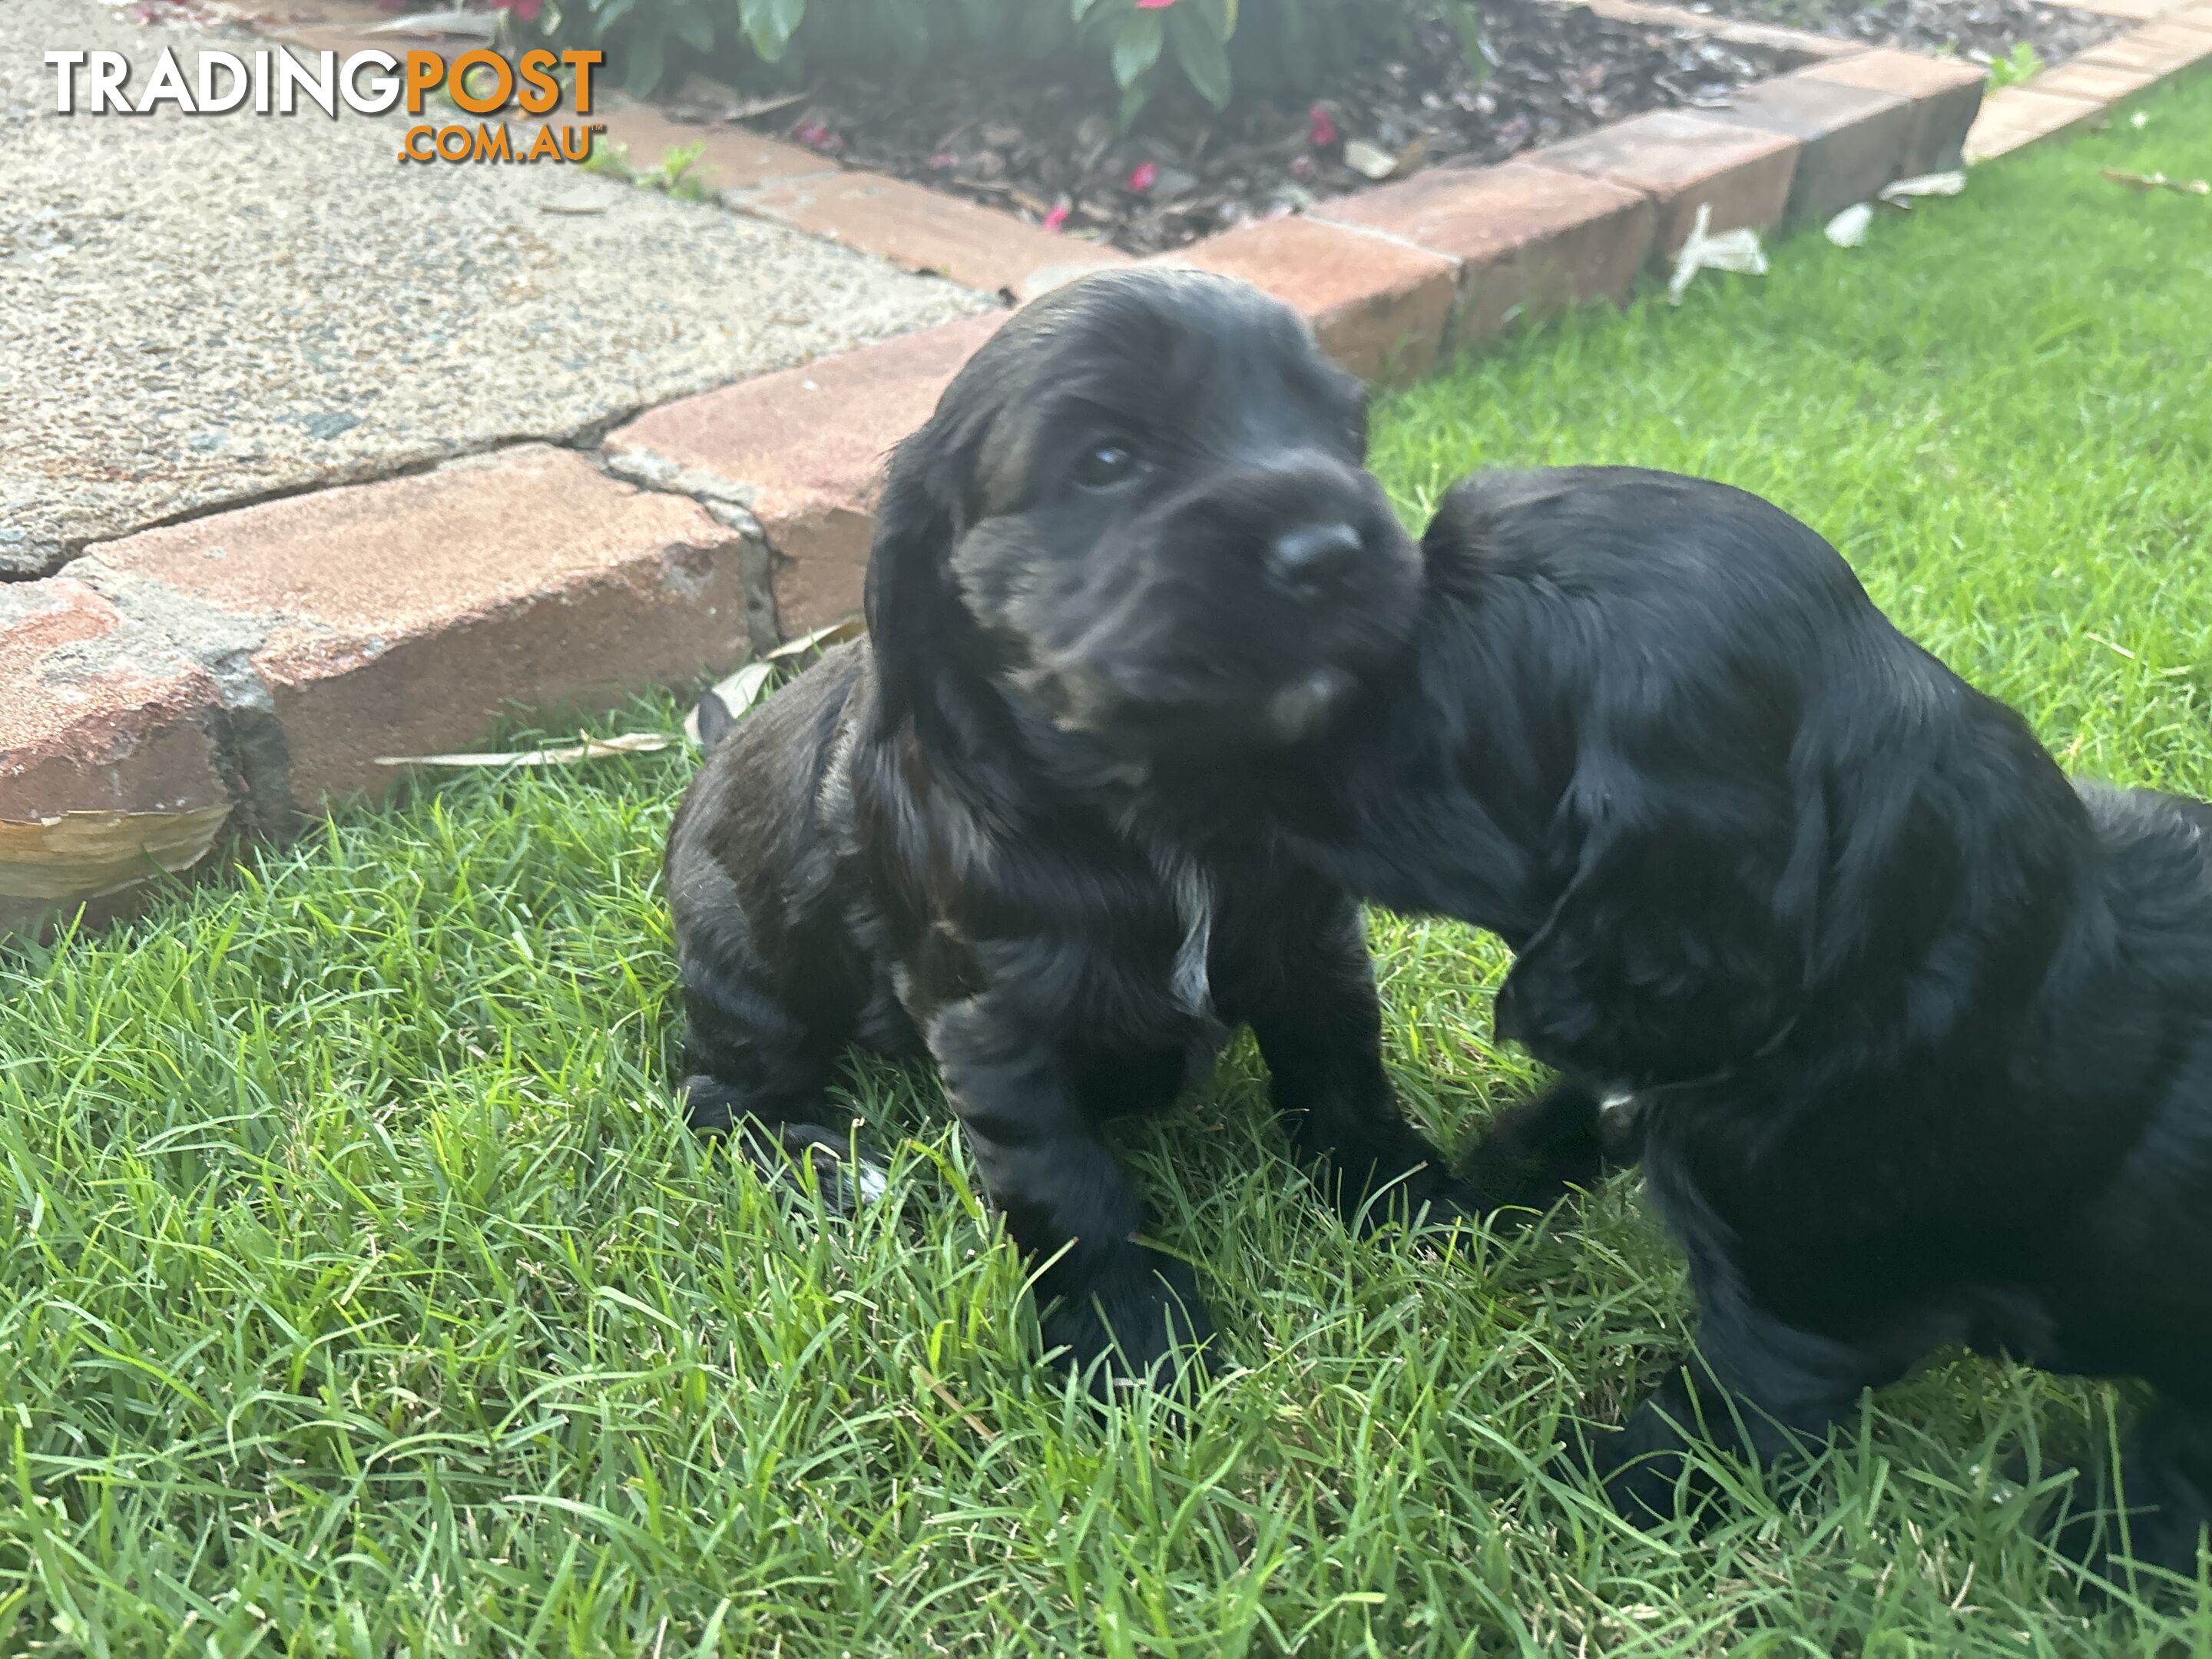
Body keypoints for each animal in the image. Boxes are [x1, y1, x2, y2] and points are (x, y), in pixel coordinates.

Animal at [664, 270, 1477, 1389]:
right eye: (1106, 461)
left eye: (1344, 432)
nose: (1332, 551)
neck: (1166, 806)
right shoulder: (996, 1025)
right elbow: (1065, 1184)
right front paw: (1129, 1337)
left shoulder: (1314, 940)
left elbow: (1343, 1063)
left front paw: (1406, 1195)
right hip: (755, 976)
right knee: (720, 1095)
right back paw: (837, 1171)